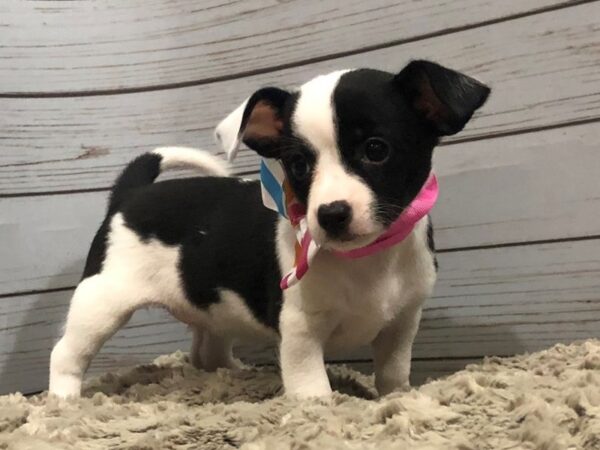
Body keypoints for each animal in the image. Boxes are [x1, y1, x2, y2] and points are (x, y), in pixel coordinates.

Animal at [49, 59, 490, 398]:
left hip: (213, 310)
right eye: (298, 165)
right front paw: (321, 412)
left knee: (206, 355)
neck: (367, 259)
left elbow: (394, 375)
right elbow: (312, 389)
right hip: (101, 302)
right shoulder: (300, 332)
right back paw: (65, 401)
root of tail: (131, 193)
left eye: (376, 149)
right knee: (66, 354)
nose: (330, 214)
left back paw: (235, 373)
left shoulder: (400, 326)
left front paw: (396, 398)